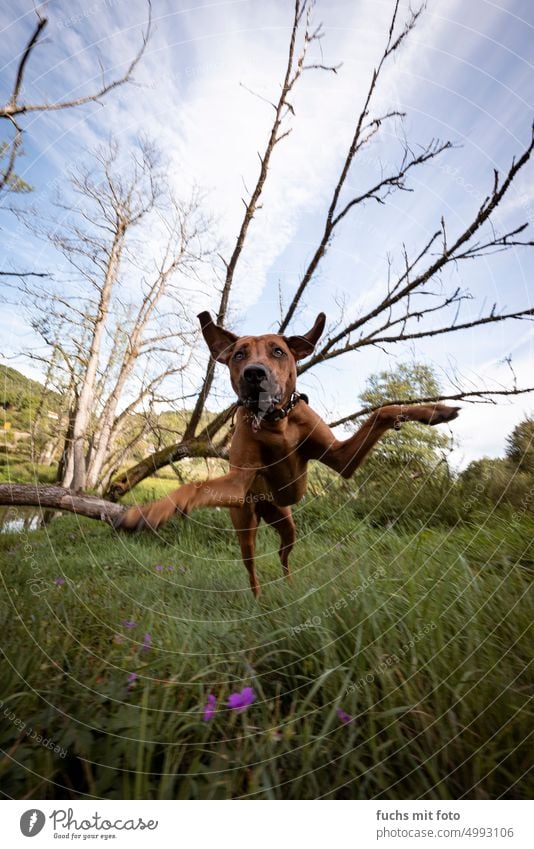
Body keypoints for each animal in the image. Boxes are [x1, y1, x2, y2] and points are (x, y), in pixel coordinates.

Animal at [117, 312, 460, 596]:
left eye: (278, 351)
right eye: (239, 354)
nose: (254, 374)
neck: (275, 423)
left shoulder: (342, 458)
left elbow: (383, 410)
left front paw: (434, 410)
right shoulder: (237, 483)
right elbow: (193, 486)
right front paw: (146, 512)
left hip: (287, 522)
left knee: (284, 555)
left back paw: (291, 585)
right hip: (245, 522)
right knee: (252, 570)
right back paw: (260, 601)